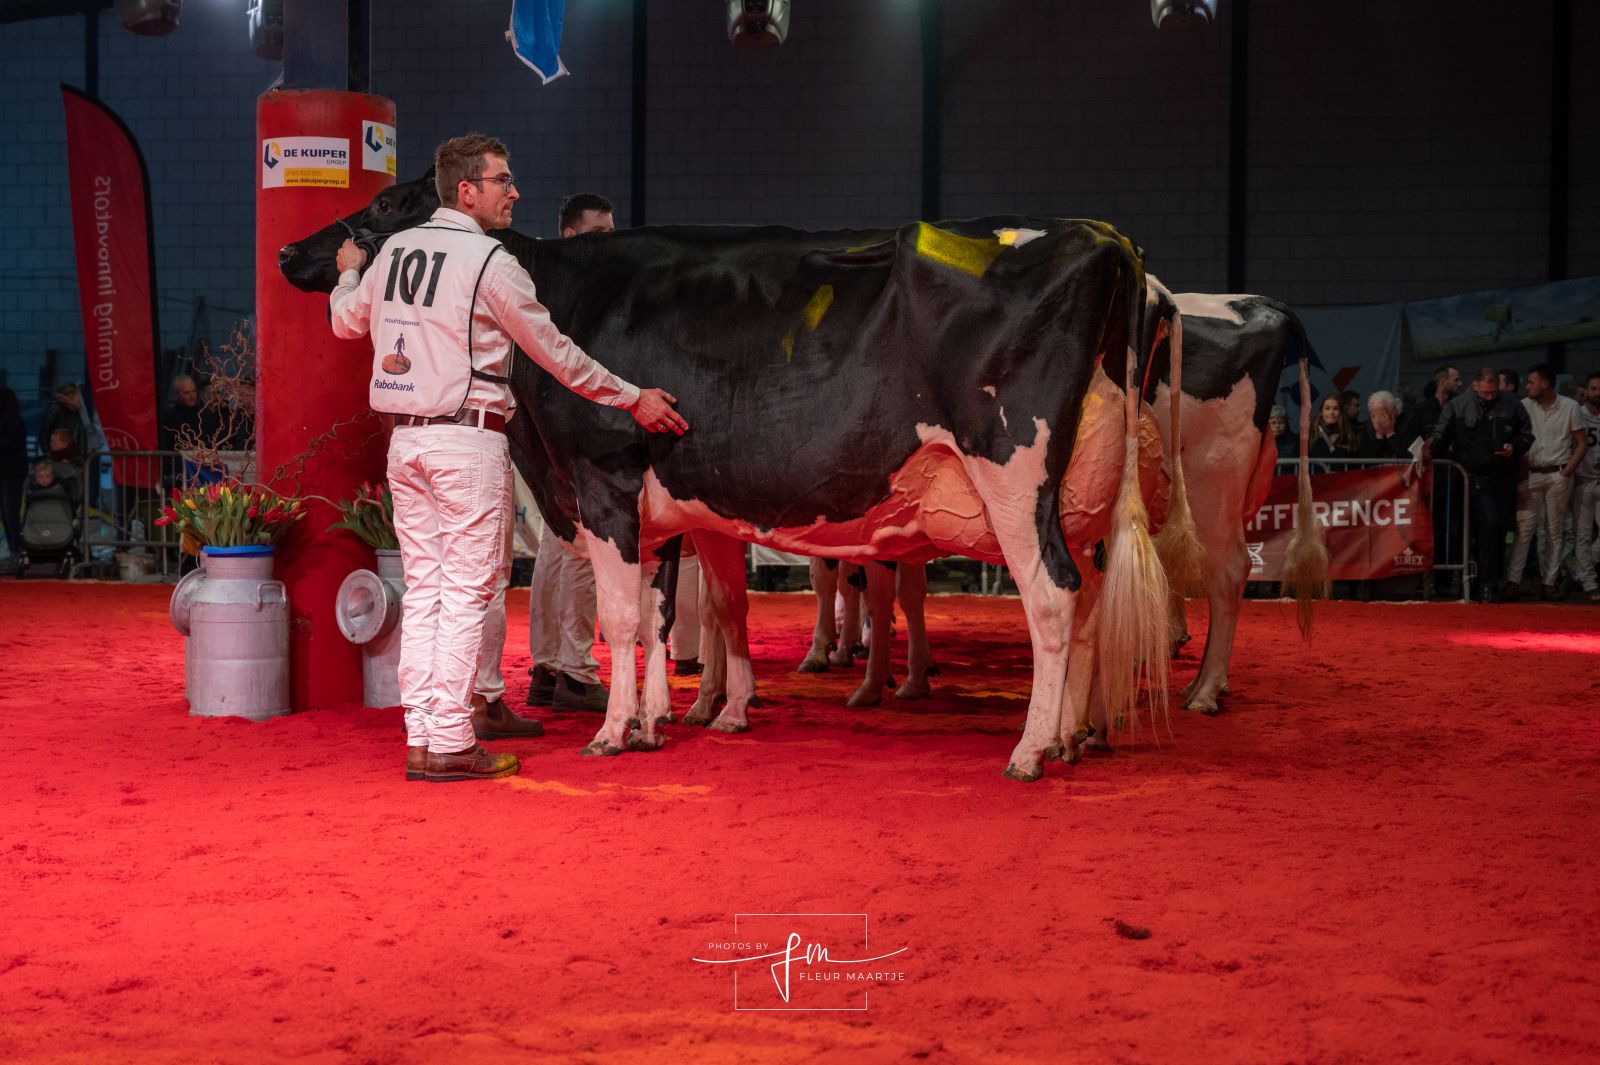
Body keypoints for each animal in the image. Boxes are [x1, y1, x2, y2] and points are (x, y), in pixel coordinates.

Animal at [281, 171, 1177, 781]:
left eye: (382, 208)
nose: (291, 249)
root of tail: (1100, 235)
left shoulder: (604, 479)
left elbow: (623, 616)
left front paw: (613, 732)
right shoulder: (668, 502)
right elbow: (672, 609)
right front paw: (662, 721)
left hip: (1013, 471)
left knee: (1053, 595)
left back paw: (1030, 749)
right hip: (1082, 489)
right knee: (1089, 602)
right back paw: (1072, 735)